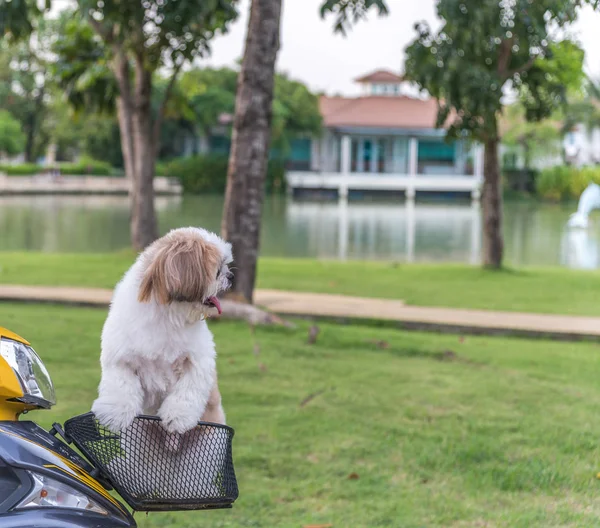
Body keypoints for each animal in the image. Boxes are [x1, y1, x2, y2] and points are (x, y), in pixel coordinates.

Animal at [92, 229, 233, 436]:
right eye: (218, 270)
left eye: (225, 267)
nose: (230, 276)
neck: (168, 315)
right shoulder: (120, 357)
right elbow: (121, 385)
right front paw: (115, 414)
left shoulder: (197, 361)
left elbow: (187, 391)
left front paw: (177, 417)